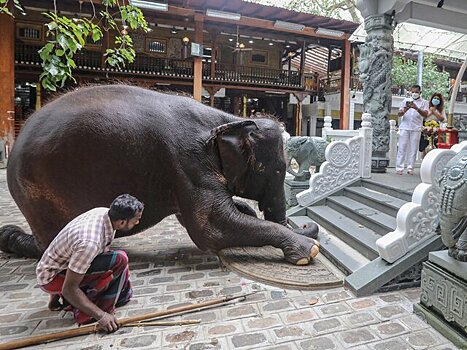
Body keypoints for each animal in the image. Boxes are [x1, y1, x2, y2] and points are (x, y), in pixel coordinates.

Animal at [0, 85, 320, 266]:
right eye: (273, 170)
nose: (308, 226)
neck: (227, 119)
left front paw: (248, 210)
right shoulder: (186, 161)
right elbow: (210, 228)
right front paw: (309, 251)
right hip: (40, 195)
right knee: (49, 243)